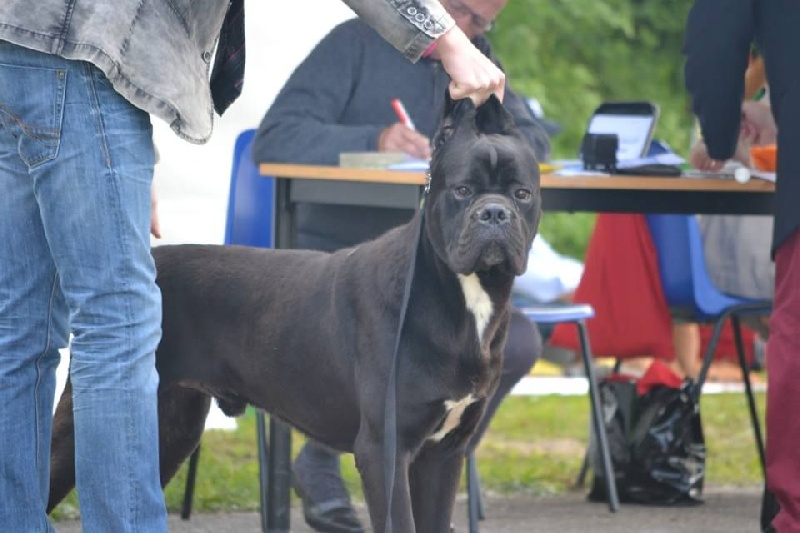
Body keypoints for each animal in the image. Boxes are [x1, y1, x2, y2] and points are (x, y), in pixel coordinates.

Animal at [48, 93, 536, 528]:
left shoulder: (443, 454)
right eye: (462, 190)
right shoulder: (386, 449)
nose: (494, 213)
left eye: (523, 193)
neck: (463, 296)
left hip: (171, 424)